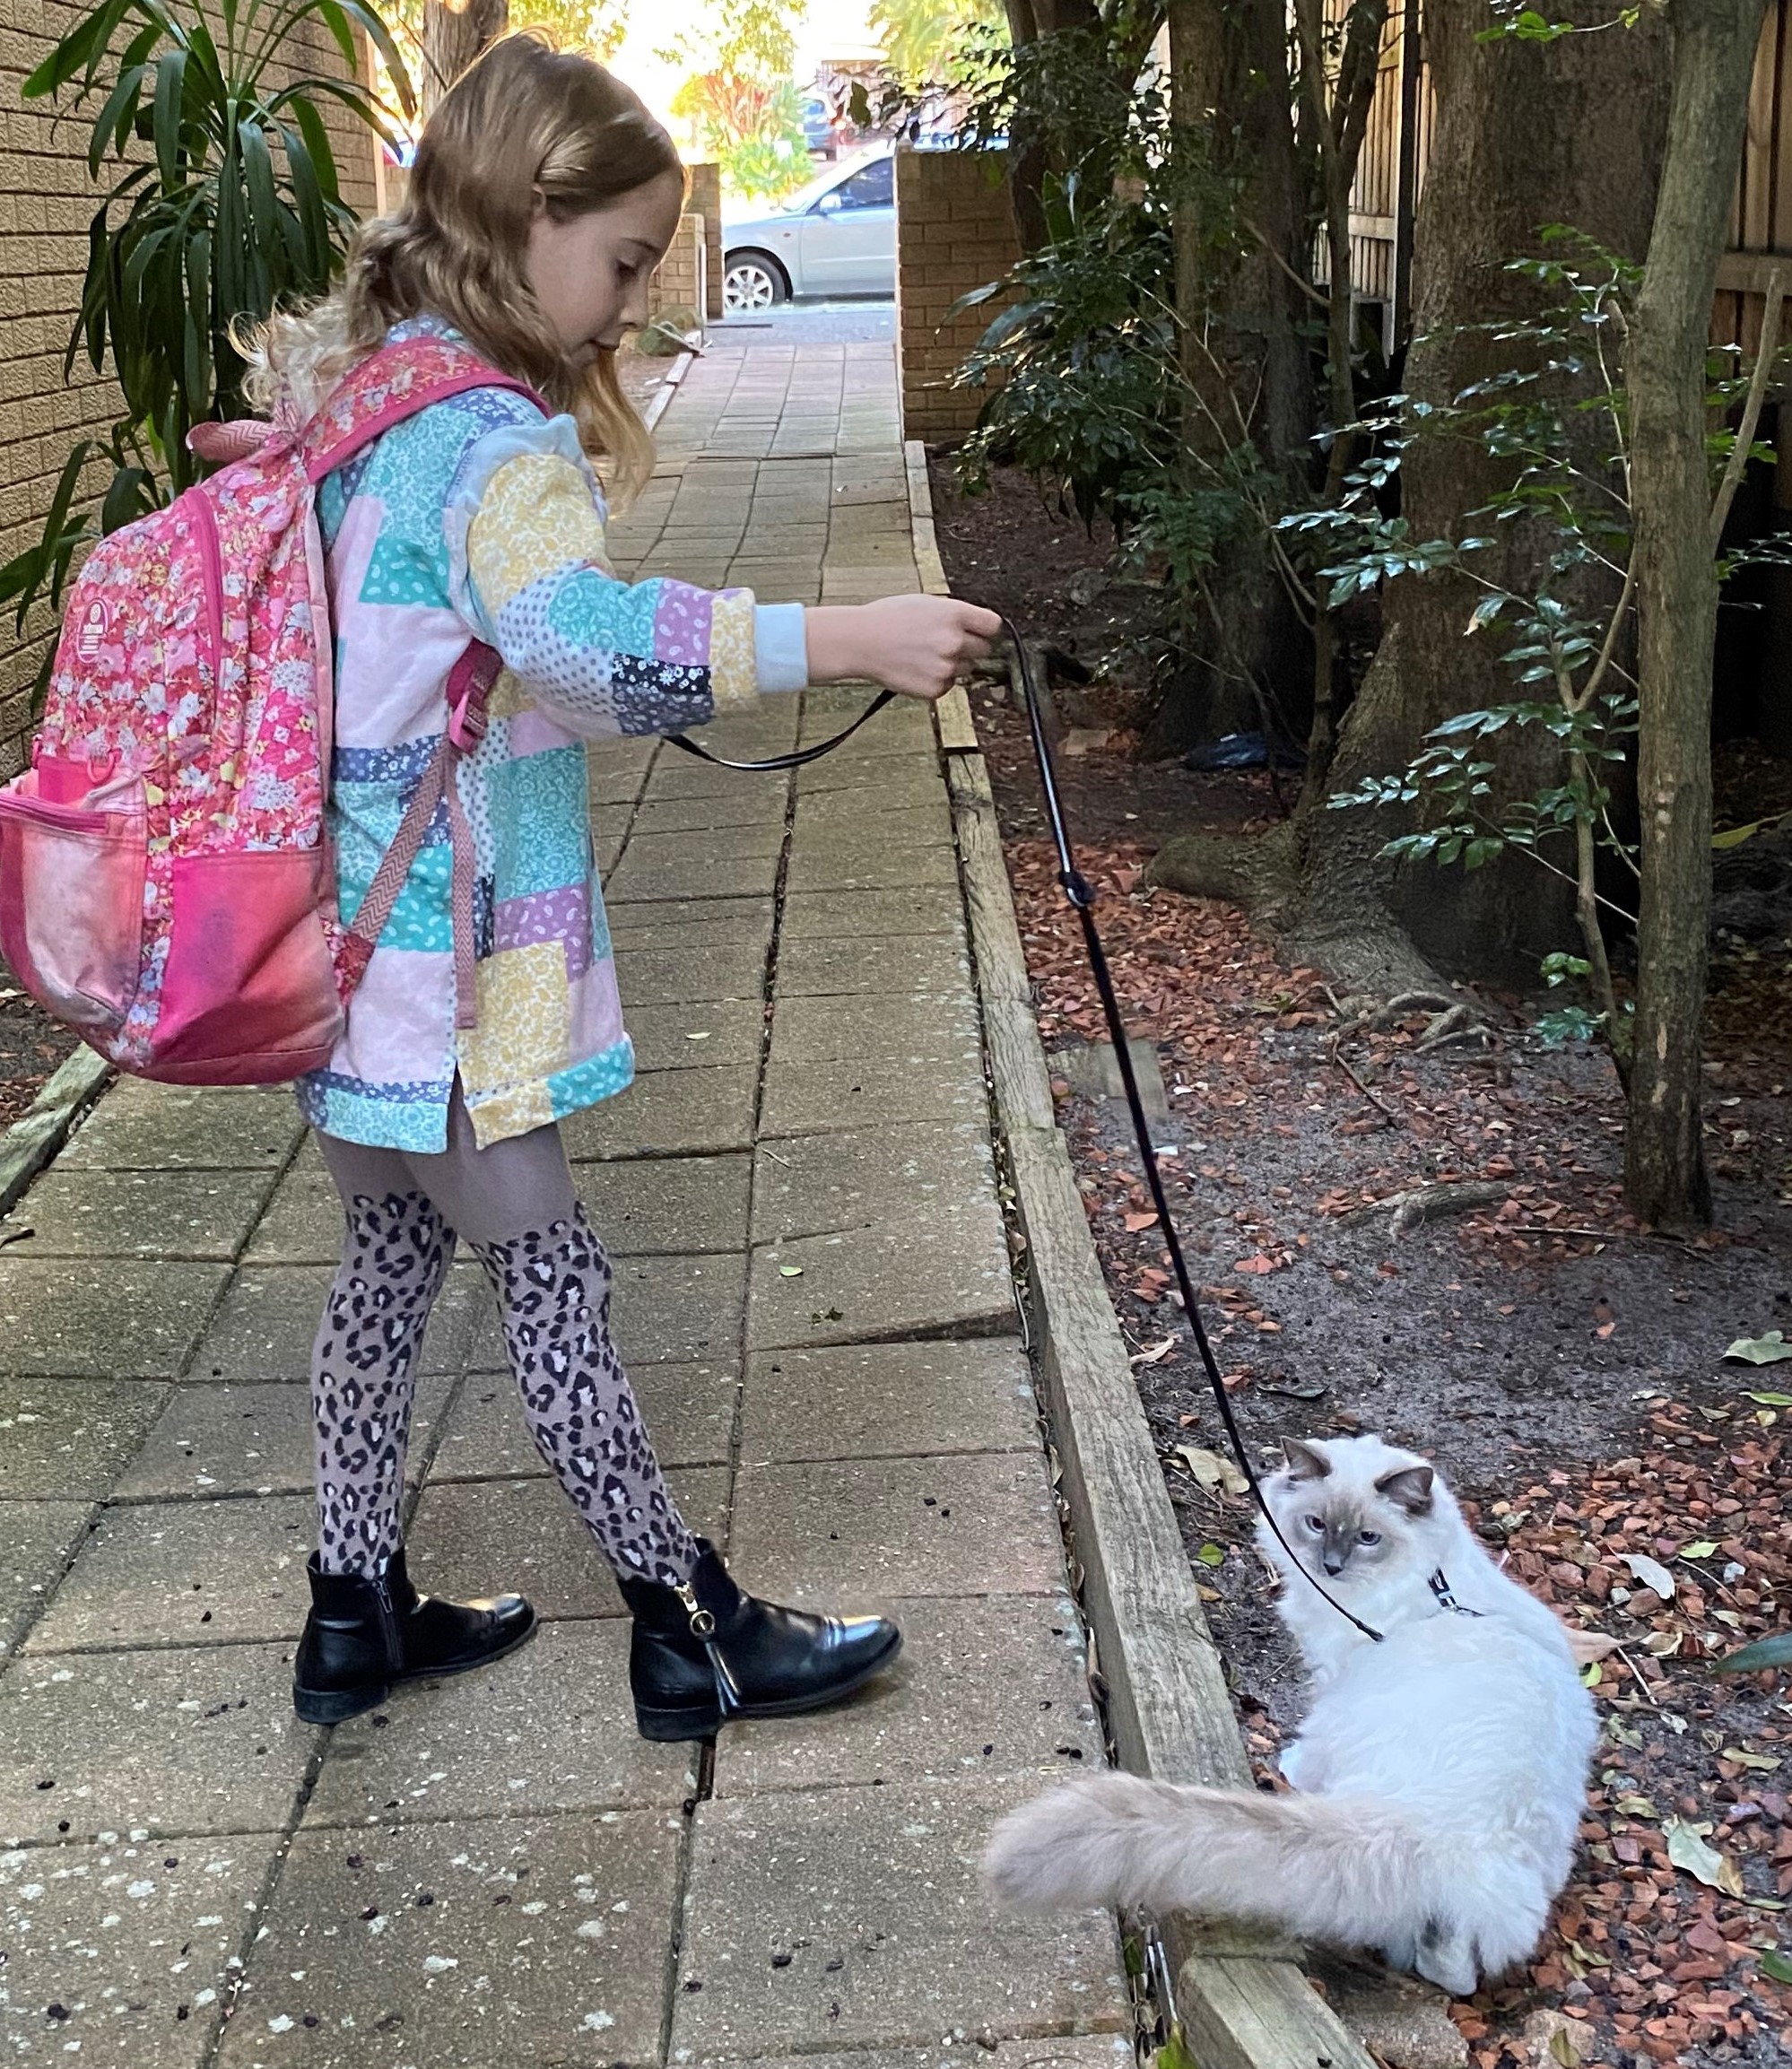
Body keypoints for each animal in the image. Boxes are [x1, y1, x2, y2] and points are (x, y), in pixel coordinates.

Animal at [976, 1431, 1588, 1994]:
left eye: (1368, 1537)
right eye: (1316, 1525)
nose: (1332, 1566)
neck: (1434, 1580)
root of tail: (1430, 1823)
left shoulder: (1334, 1670)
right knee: (1454, 1964)